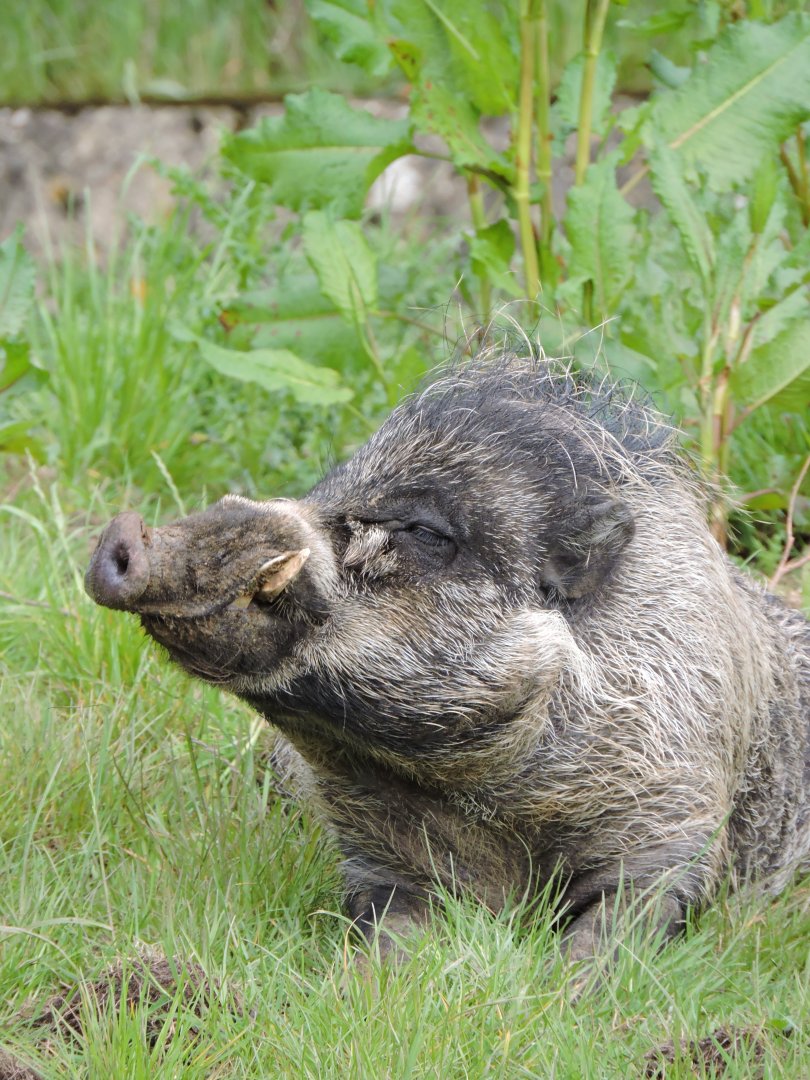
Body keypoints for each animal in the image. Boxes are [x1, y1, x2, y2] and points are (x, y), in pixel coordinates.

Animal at [85, 353, 810, 961]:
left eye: (424, 530)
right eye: (327, 489)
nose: (123, 532)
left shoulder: (678, 826)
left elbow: (619, 934)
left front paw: (568, 994)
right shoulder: (377, 859)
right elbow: (390, 934)